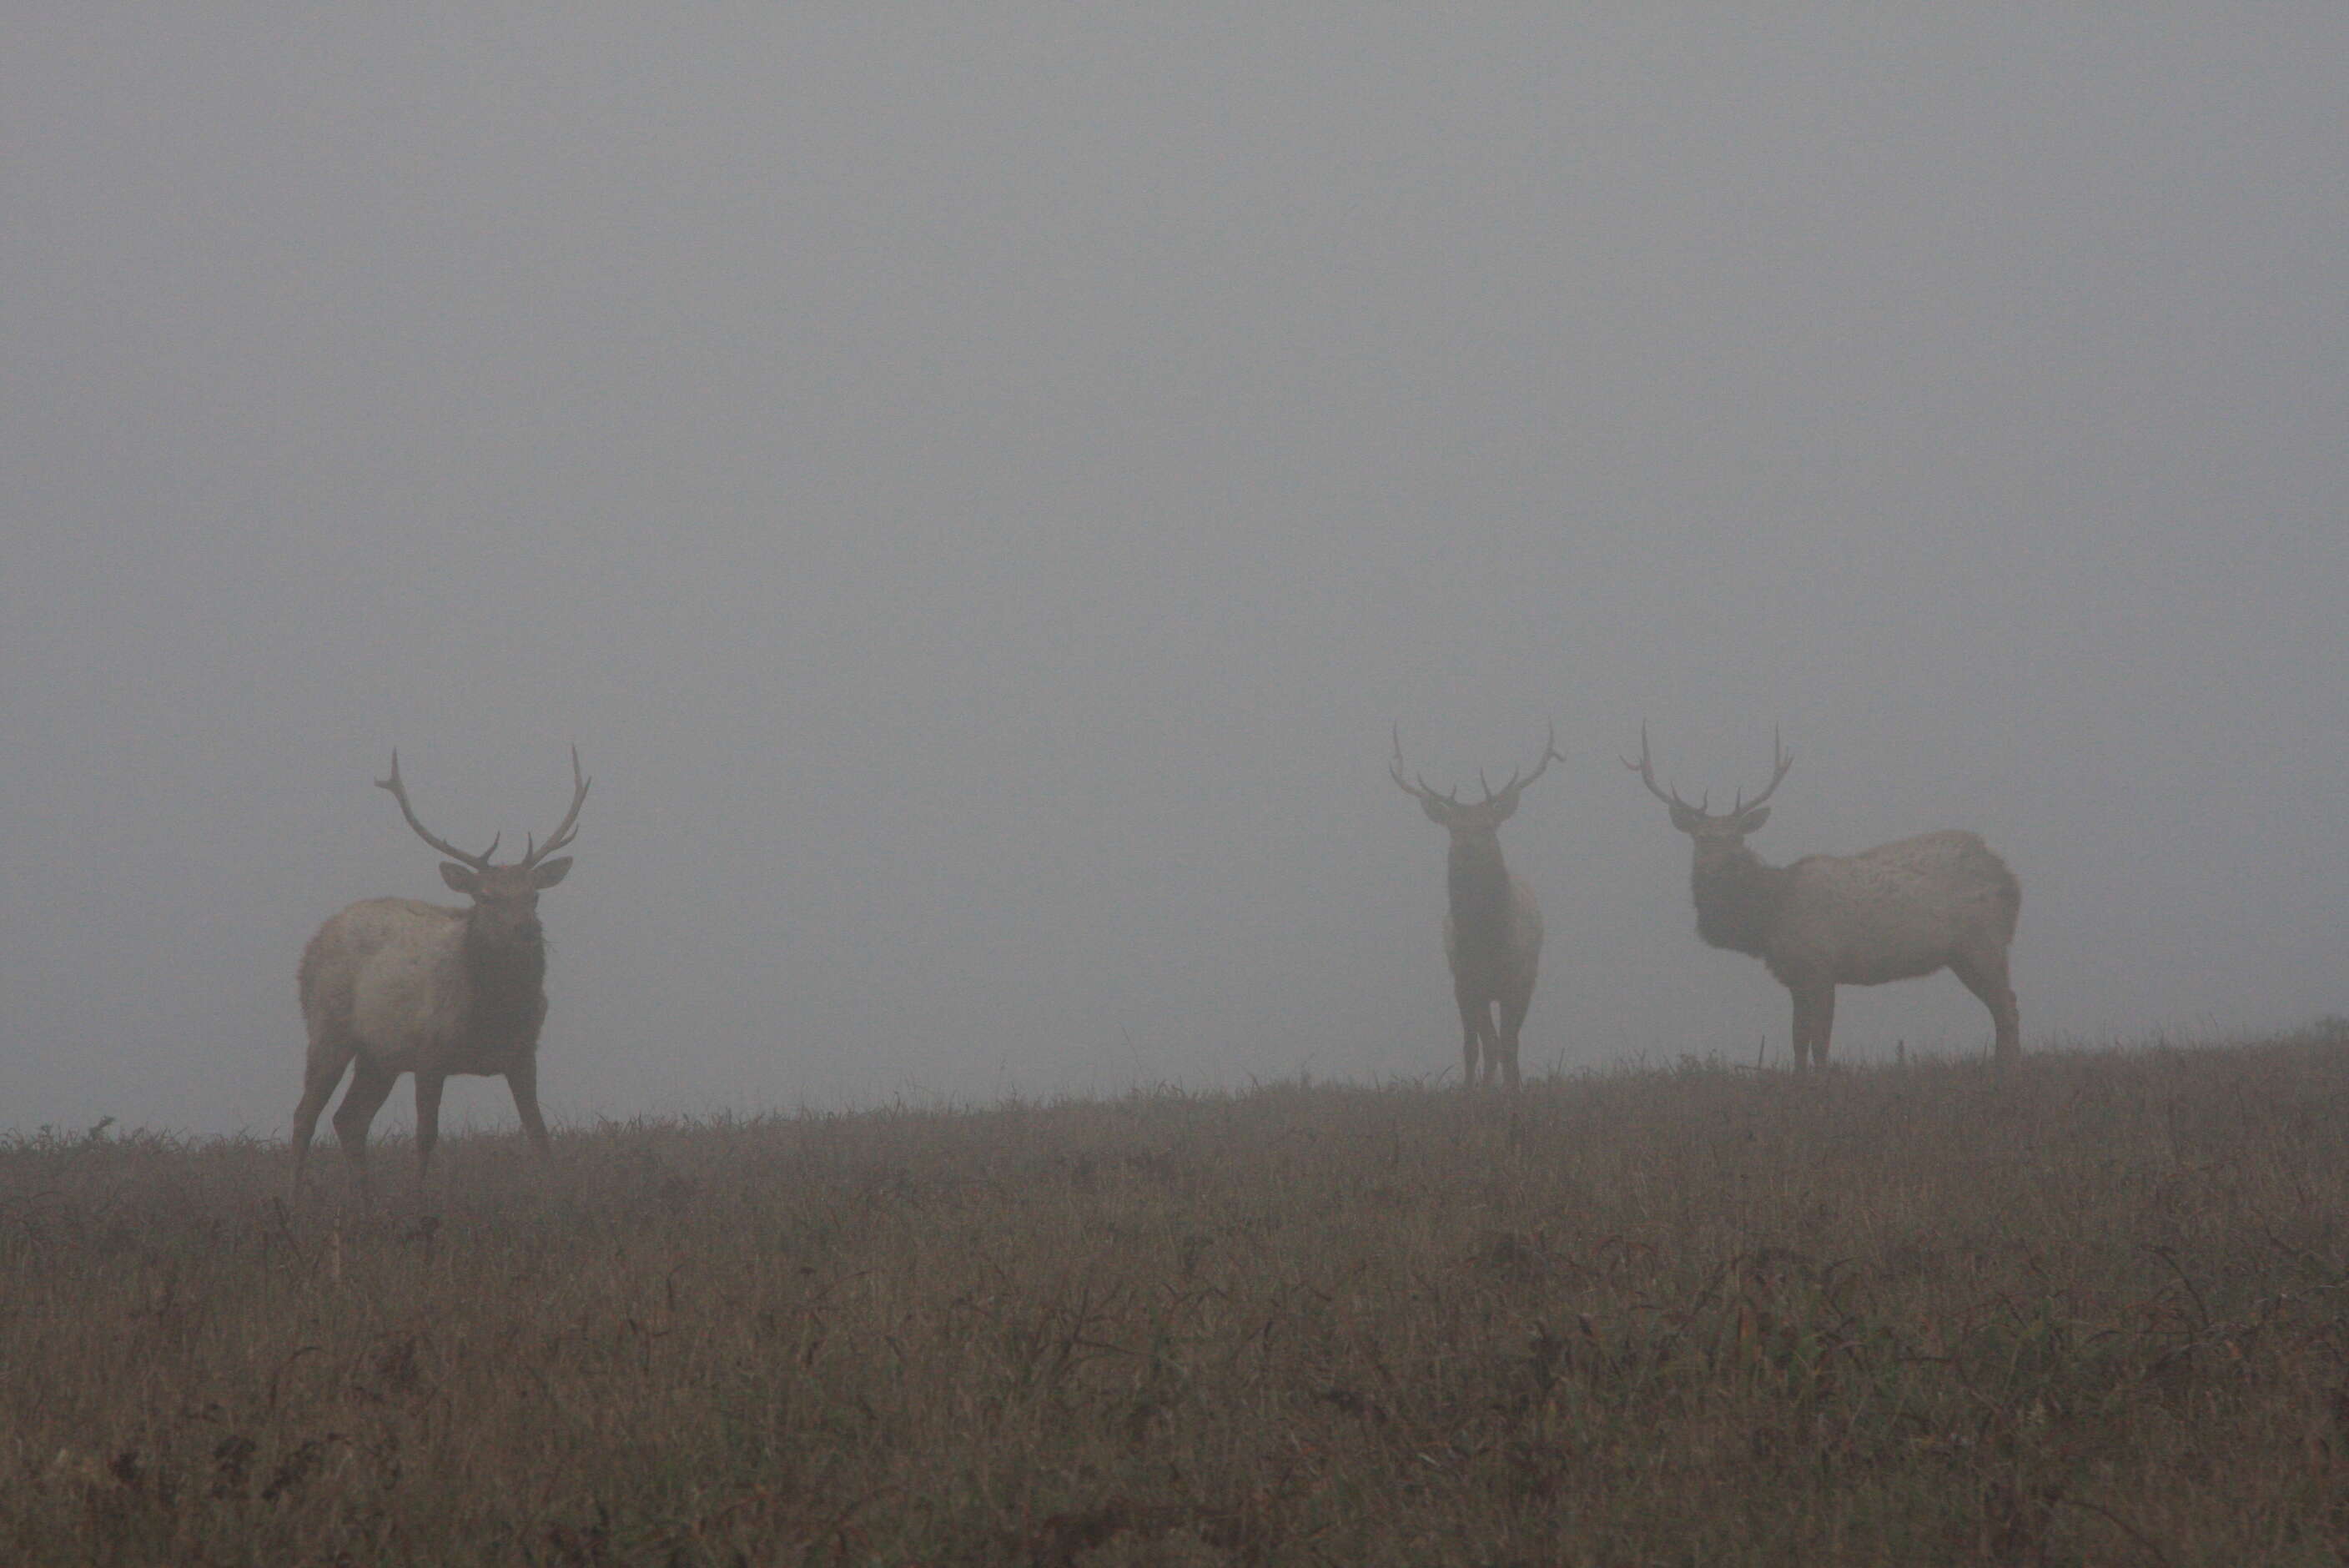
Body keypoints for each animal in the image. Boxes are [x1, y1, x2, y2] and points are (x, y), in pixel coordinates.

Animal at [289, 741, 591, 1192]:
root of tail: (311, 946)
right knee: (305, 1116)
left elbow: (540, 1136)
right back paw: (292, 1198)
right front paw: (418, 1200)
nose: (526, 931)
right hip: (329, 1030)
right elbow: (425, 1138)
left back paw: (367, 1201)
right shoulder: (429, 1054)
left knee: (349, 1120)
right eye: (485, 897)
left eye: (534, 895)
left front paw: (559, 1197)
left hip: (379, 1057)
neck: (492, 1018)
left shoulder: (523, 1054)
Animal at [1381, 727, 1569, 1084]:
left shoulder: (1519, 979)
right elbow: (1480, 1046)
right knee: (1481, 1043)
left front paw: (1513, 1089)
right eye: (1454, 828)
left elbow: (1509, 1043)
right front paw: (1477, 1090)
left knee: (1503, 1041)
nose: (1470, 849)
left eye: (1488, 825)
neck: (1488, 942)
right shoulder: (1467, 981)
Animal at [1625, 727, 2030, 1070]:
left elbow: (1820, 1041)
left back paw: (2007, 1070)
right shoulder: (1793, 975)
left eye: (1738, 838)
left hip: (1983, 943)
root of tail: (2009, 879)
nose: (1716, 868)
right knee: (2003, 1006)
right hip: (1965, 954)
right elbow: (1798, 1040)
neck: (1769, 918)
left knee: (2007, 1006)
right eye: (1700, 838)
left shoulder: (1821, 966)